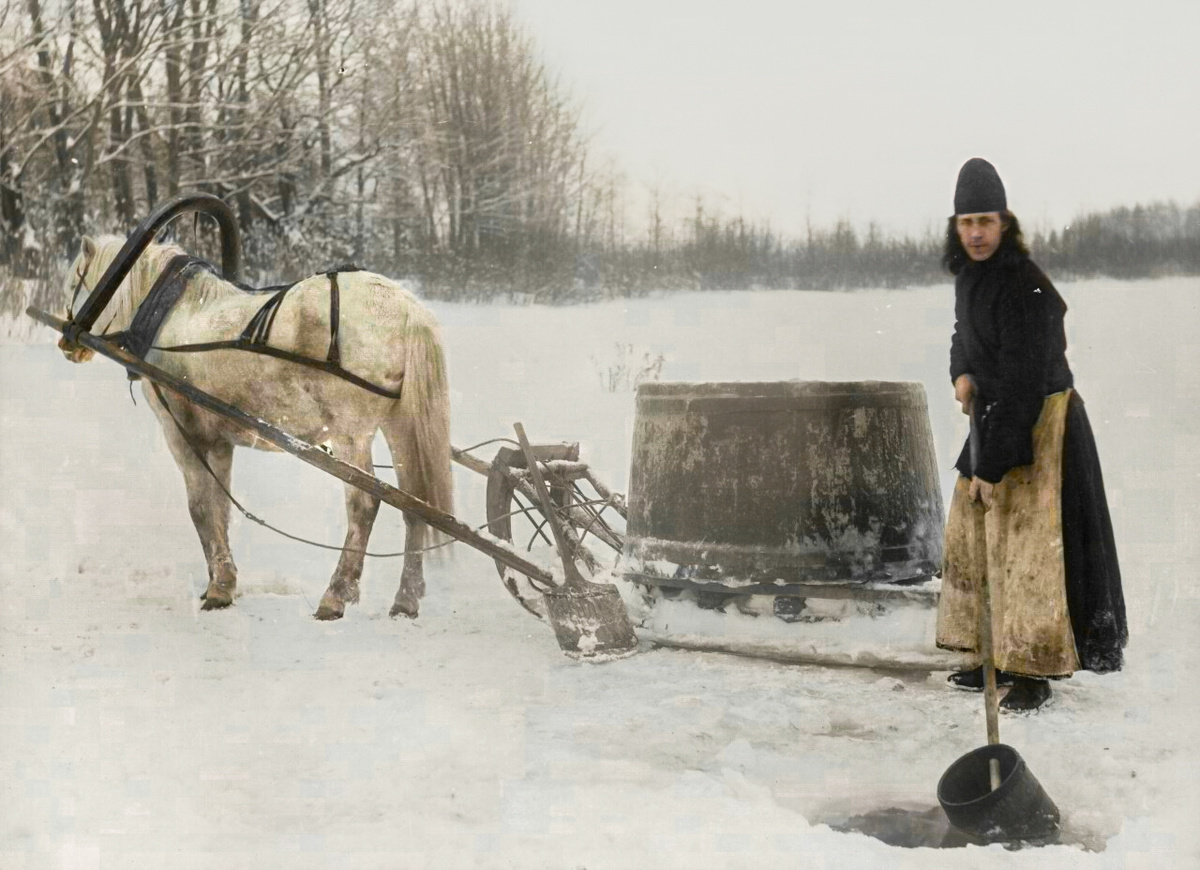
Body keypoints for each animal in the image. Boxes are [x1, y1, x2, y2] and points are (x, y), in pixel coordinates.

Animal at [57, 234, 451, 619]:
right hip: (400, 426)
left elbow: (200, 508)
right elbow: (219, 506)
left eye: (75, 283)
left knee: (365, 504)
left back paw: (336, 594)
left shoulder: (181, 431)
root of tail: (407, 308)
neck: (172, 315)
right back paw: (406, 599)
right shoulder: (218, 441)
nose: (66, 342)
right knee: (414, 503)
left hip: (350, 434)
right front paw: (221, 582)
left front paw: (219, 589)